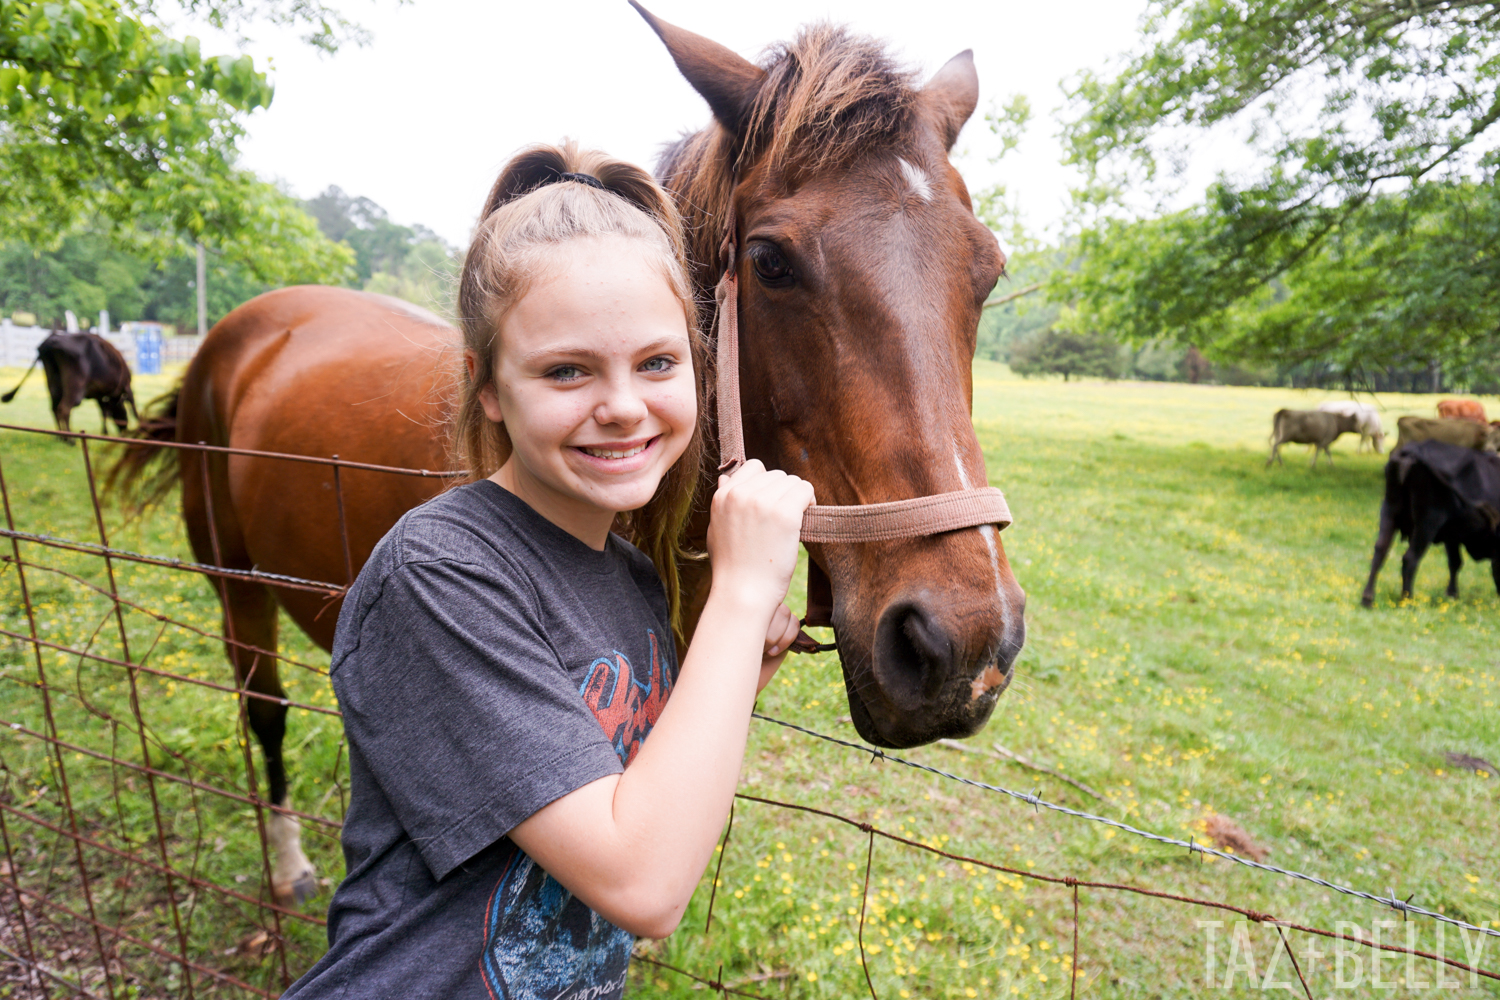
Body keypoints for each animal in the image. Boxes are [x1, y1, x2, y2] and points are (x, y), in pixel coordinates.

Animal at [108, 9, 1020, 905]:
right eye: (770, 261)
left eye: (989, 271)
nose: (964, 647)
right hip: (235, 584)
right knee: (263, 706)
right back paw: (290, 861)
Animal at [1362, 440, 1500, 605]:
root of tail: (1414, 449)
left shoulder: (1452, 535)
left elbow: (1455, 562)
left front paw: (1452, 594)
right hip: (1427, 522)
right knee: (1410, 558)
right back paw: (1407, 600)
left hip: (1390, 511)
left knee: (1380, 550)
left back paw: (1367, 598)